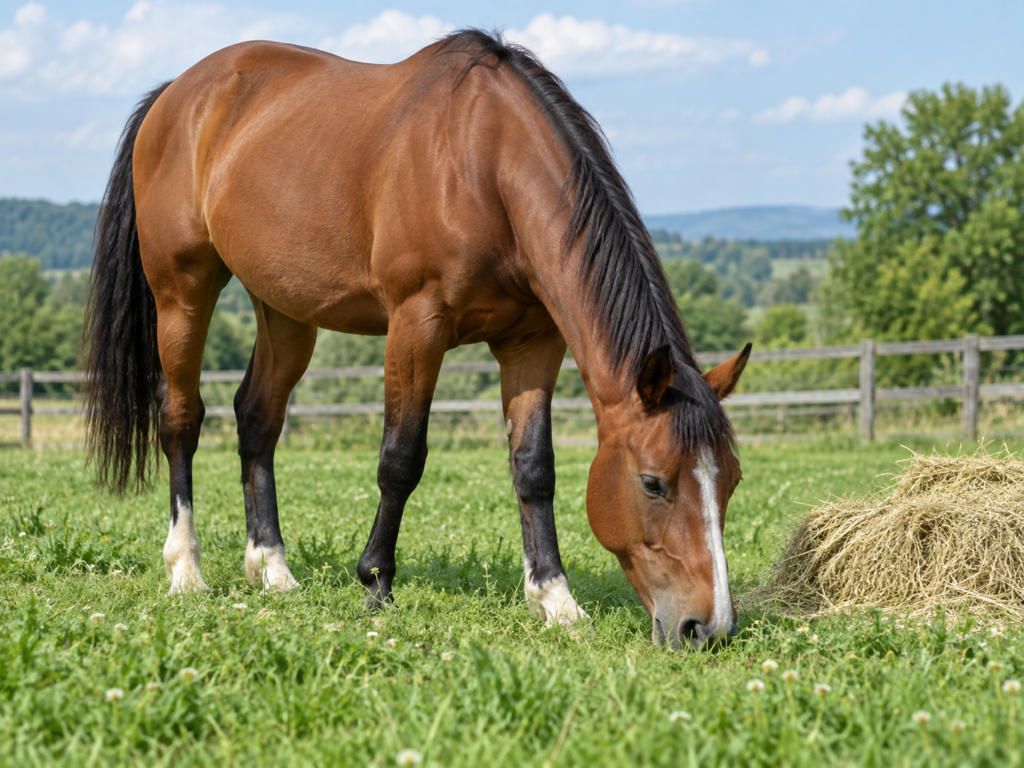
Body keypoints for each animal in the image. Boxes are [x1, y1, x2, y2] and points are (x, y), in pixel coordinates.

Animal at [83, 30, 751, 650]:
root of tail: (176, 94)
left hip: (285, 308)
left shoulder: (533, 342)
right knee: (181, 420)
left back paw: (272, 570)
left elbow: (534, 467)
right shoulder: (415, 326)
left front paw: (556, 600)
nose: (708, 627)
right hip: (182, 292)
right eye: (653, 483)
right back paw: (186, 570)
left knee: (257, 418)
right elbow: (401, 459)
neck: (485, 162)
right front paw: (376, 583)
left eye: (733, 481)